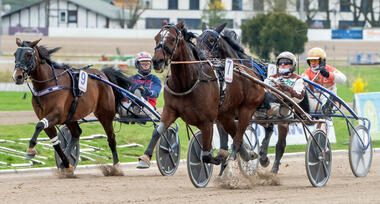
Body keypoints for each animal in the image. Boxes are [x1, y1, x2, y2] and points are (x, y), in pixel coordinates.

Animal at [12, 39, 132, 176]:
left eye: (28, 55)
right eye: (15, 54)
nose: (17, 76)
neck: (48, 84)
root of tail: (103, 75)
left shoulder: (56, 114)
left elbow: (39, 125)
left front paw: (30, 150)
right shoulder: (47, 117)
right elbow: (55, 142)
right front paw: (66, 165)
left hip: (105, 114)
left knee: (111, 138)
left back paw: (116, 166)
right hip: (71, 117)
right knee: (76, 133)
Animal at [151, 20, 264, 171]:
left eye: (172, 39)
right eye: (156, 37)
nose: (157, 61)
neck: (188, 82)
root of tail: (252, 74)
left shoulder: (207, 121)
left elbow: (206, 155)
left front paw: (220, 157)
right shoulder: (170, 110)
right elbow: (158, 131)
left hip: (247, 109)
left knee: (239, 138)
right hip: (225, 115)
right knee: (235, 135)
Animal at [197, 23, 310, 173]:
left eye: (211, 40)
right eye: (197, 39)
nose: (199, 56)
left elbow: (237, 138)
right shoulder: (223, 115)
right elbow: (225, 142)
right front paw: (223, 166)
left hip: (282, 114)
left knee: (279, 141)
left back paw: (270, 164)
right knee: (268, 129)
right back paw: (262, 157)